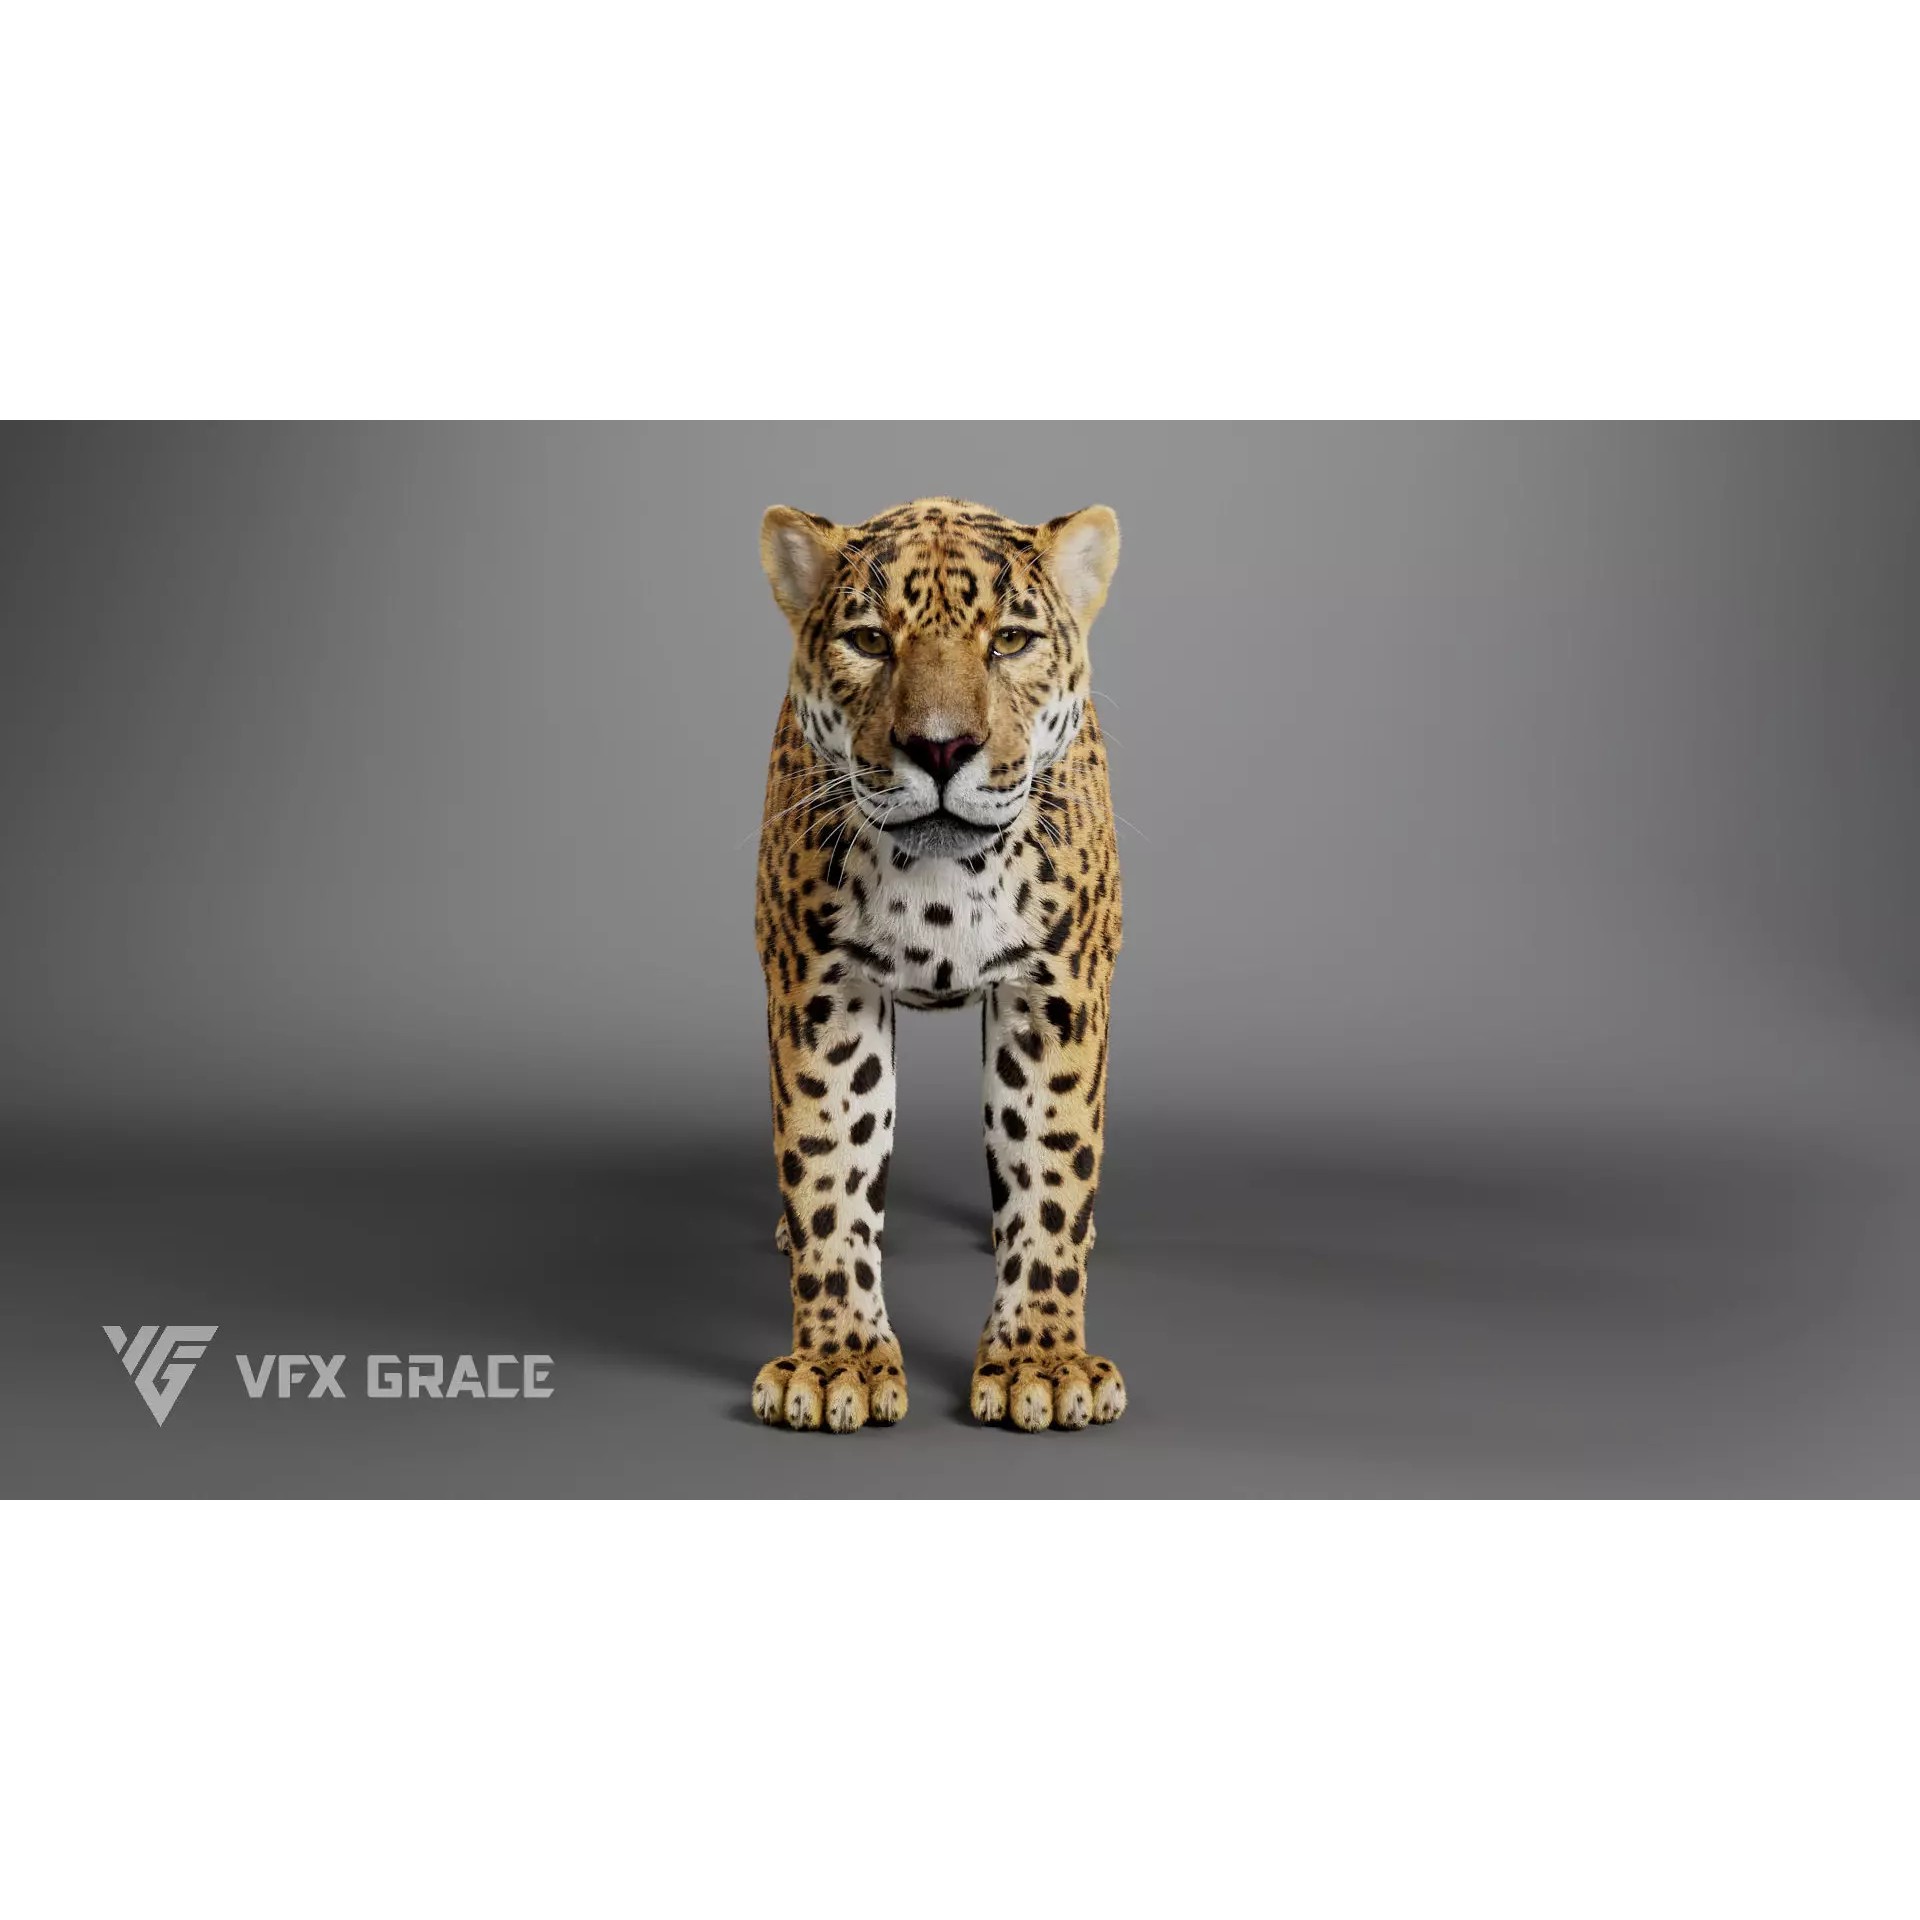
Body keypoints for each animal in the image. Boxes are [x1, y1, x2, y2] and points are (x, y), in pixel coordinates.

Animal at [750, 495, 1126, 1434]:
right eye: (869, 641)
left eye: (1011, 641)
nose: (943, 747)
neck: (943, 886)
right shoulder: (823, 993)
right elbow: (830, 1165)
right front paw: (837, 1363)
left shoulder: (1055, 997)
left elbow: (1050, 1166)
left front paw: (1043, 1361)